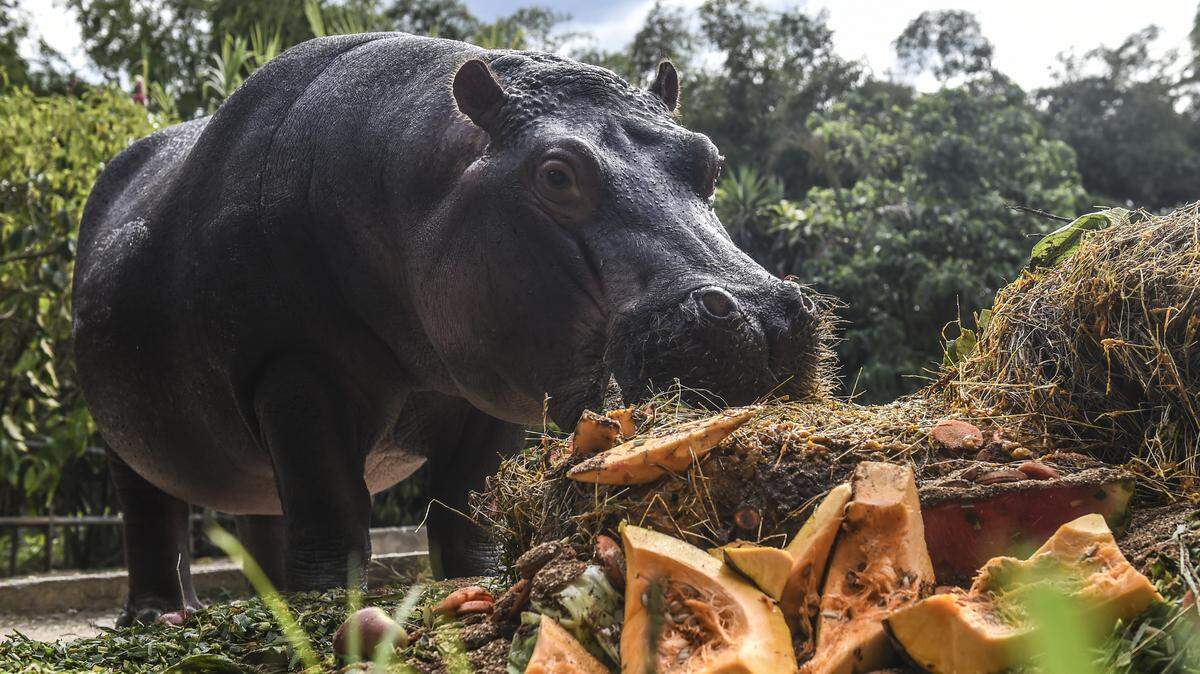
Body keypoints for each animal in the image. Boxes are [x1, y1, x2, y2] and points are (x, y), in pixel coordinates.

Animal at [72, 32, 826, 625]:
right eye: (556, 173)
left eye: (710, 160)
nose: (761, 314)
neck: (416, 175)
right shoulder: (292, 367)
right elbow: (330, 497)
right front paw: (331, 603)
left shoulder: (489, 385)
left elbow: (465, 496)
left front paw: (476, 578)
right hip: (124, 435)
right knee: (153, 511)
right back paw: (160, 616)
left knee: (261, 507)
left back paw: (271, 601)